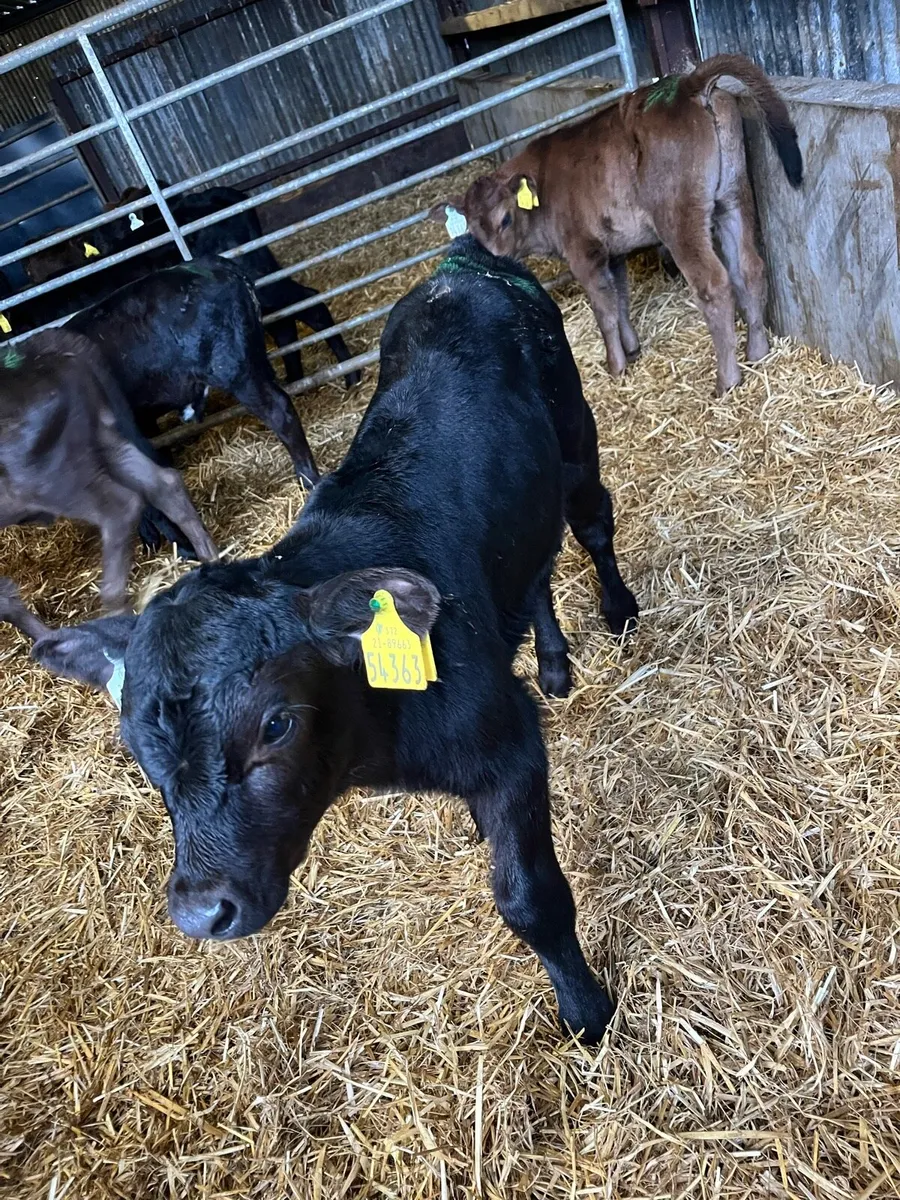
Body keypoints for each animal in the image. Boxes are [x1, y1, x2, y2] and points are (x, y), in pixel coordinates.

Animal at [0, 330, 217, 612]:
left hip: (53, 482)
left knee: (120, 510)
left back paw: (115, 607)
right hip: (108, 441)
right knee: (165, 485)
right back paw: (211, 558)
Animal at [435, 55, 803, 396]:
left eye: (506, 218)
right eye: (471, 228)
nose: (494, 257)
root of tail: (688, 84)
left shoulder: (584, 253)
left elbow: (605, 312)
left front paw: (616, 365)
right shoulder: (612, 251)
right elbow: (621, 301)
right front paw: (632, 349)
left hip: (679, 215)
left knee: (713, 283)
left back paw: (727, 379)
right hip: (733, 195)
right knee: (749, 267)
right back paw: (757, 350)